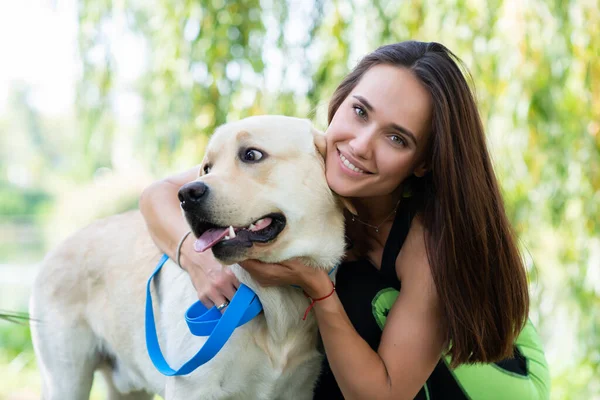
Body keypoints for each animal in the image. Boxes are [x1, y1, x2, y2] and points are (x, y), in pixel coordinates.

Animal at [30, 114, 346, 398]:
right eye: (206, 168)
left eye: (252, 154)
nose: (186, 194)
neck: (271, 301)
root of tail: (52, 251)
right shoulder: (192, 386)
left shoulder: (298, 388)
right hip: (66, 380)